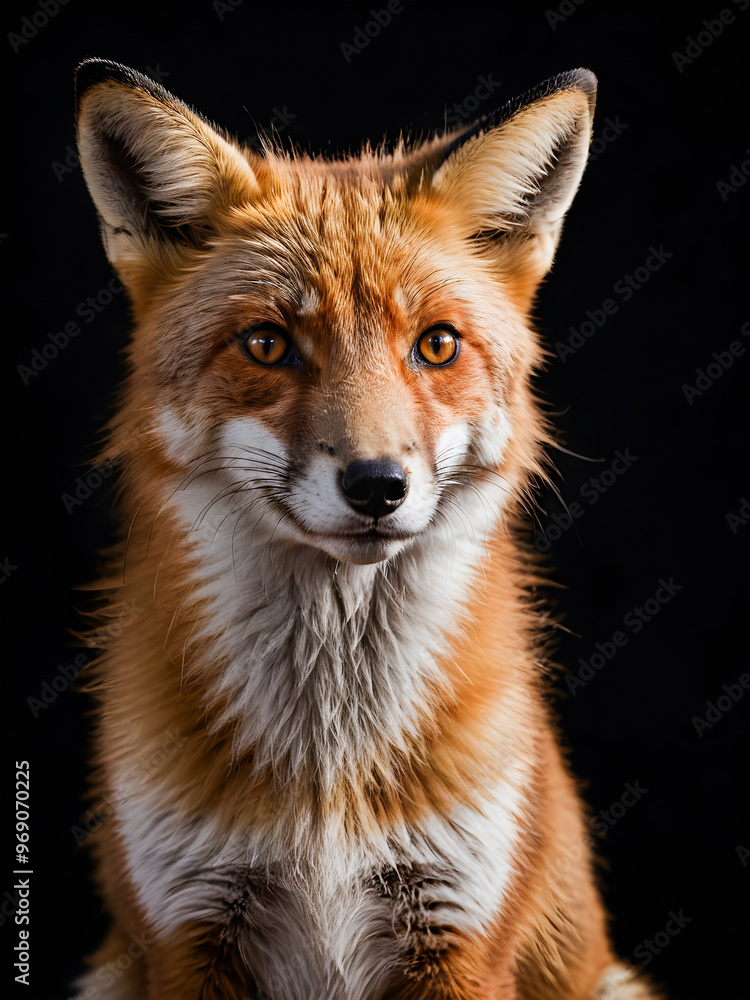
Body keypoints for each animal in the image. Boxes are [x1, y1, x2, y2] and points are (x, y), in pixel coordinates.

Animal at [72, 58, 660, 1000]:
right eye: (267, 345)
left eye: (437, 345)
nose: (378, 485)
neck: (329, 779)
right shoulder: (187, 933)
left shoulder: (459, 933)